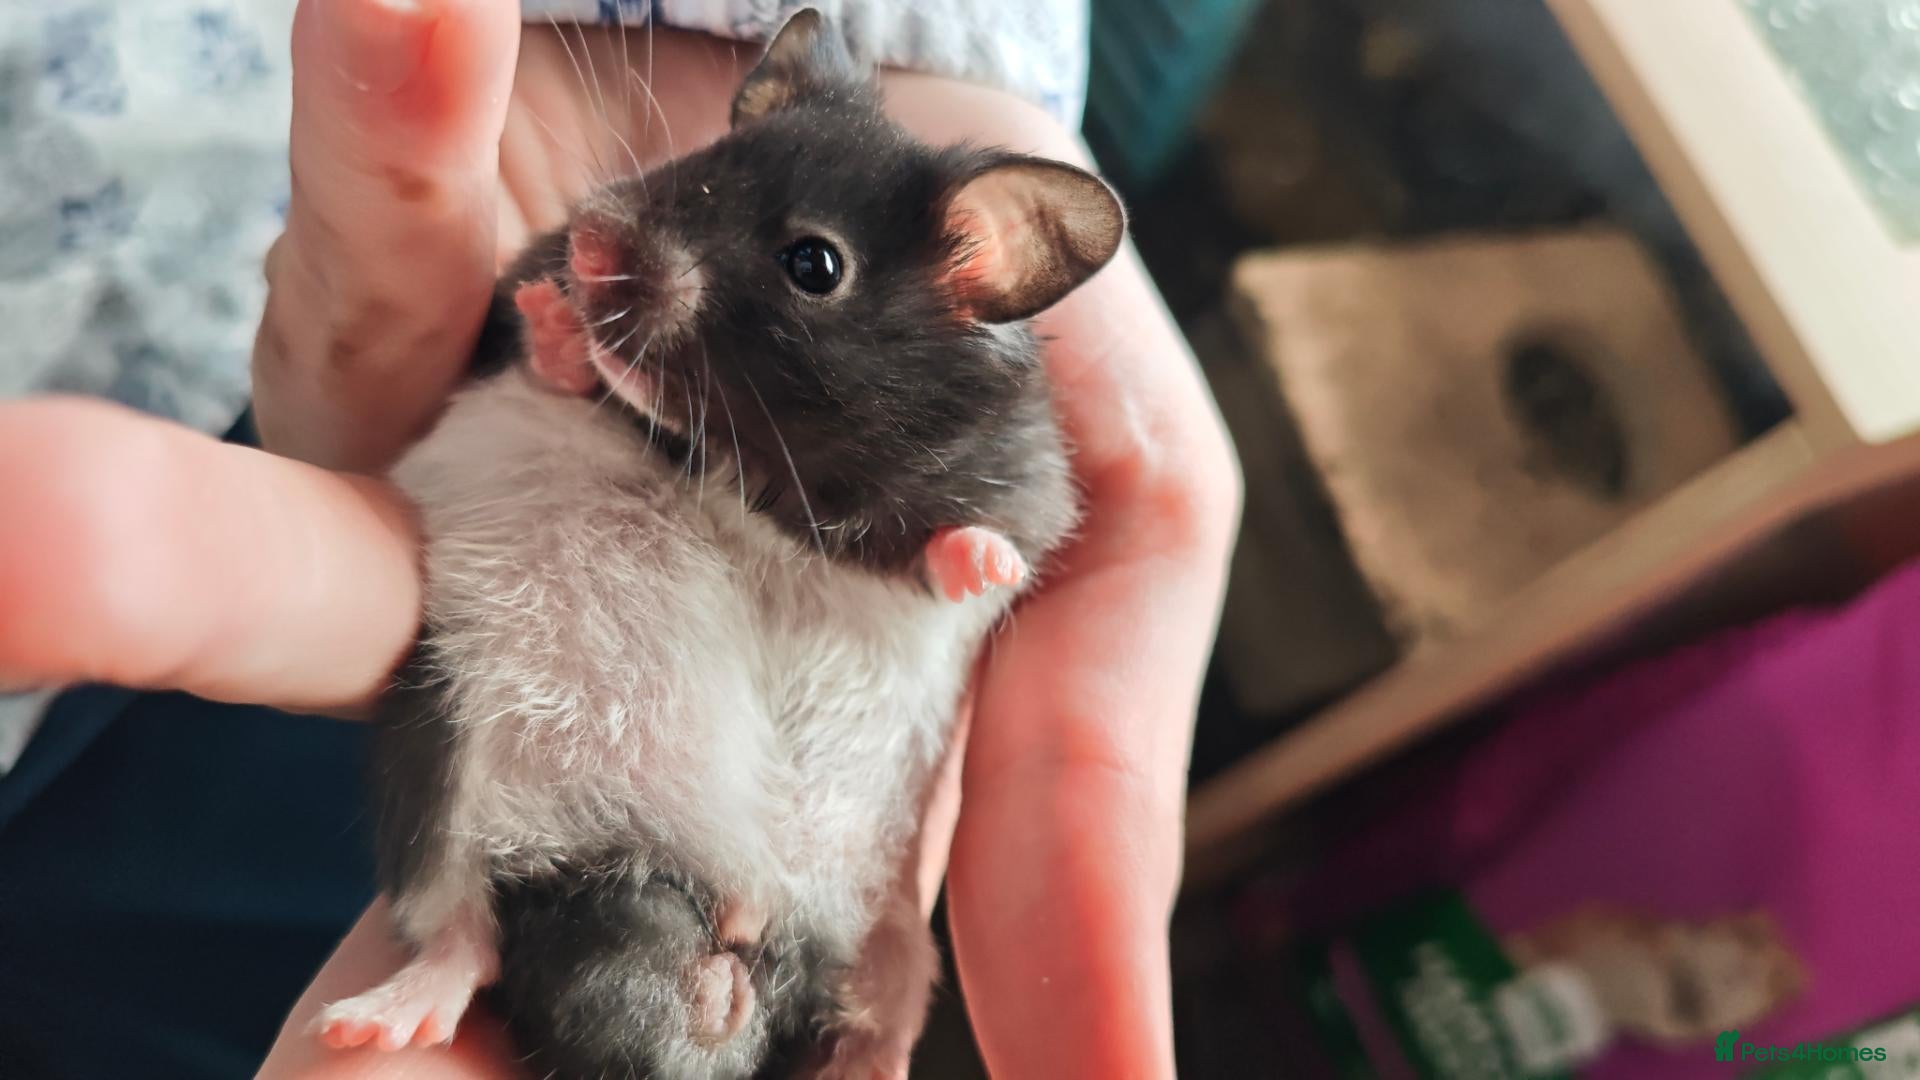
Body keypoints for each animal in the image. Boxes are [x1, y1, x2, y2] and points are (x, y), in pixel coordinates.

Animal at [311, 10, 1124, 1079]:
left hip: (894, 944)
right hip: (443, 777)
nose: (591, 241)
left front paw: (985, 561)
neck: (752, 465)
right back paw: (372, 1023)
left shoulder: (1024, 485)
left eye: (814, 264)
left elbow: (954, 546)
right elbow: (548, 359)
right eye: (700, 158)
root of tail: (721, 942)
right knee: (465, 938)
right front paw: (555, 321)